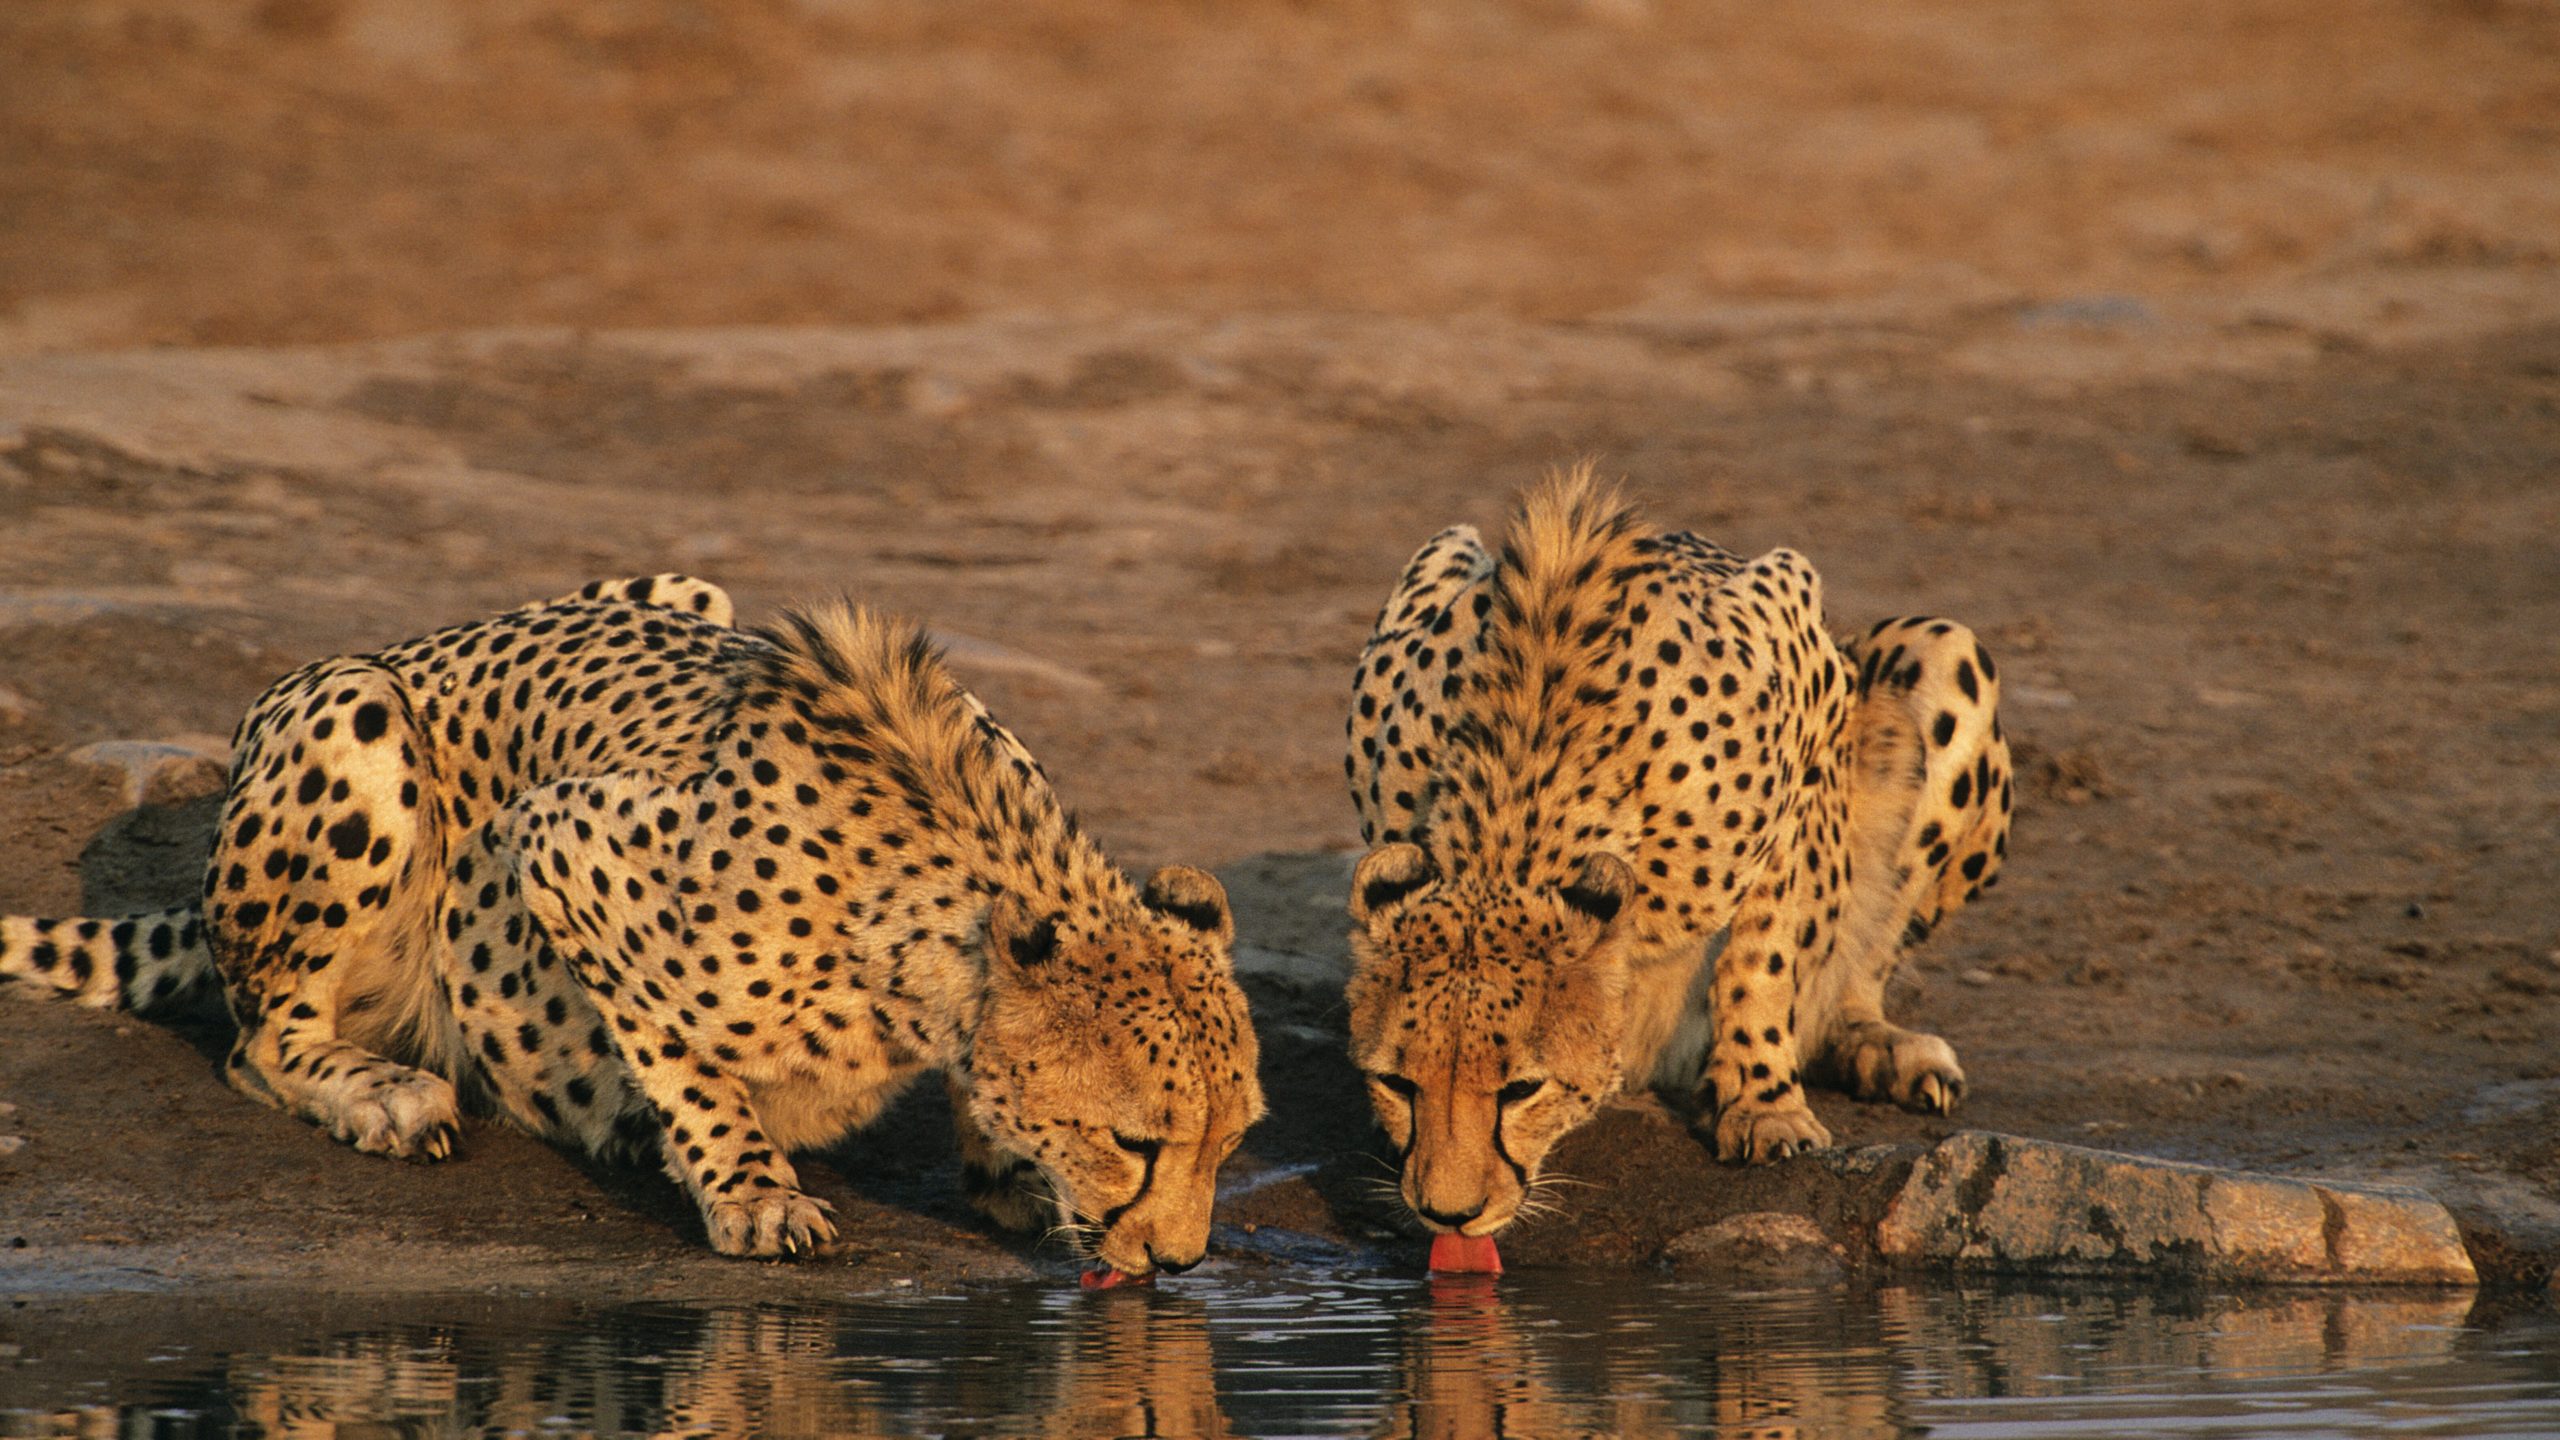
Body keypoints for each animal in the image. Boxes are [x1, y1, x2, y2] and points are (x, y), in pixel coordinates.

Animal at [0, 573, 1259, 1265]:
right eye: (1137, 1142)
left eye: (1229, 1143)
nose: (1179, 1267)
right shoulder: (561, 843)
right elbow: (686, 1063)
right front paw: (751, 1192)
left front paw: (1004, 1166)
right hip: (355, 711)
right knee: (258, 1040)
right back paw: (381, 1094)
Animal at [1341, 468, 2017, 1235]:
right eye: (1397, 1082)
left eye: (1522, 1089)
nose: (1448, 1214)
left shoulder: (1807, 679)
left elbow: (1764, 952)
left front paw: (1762, 1101)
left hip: (1946, 653)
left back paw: (1873, 1041)